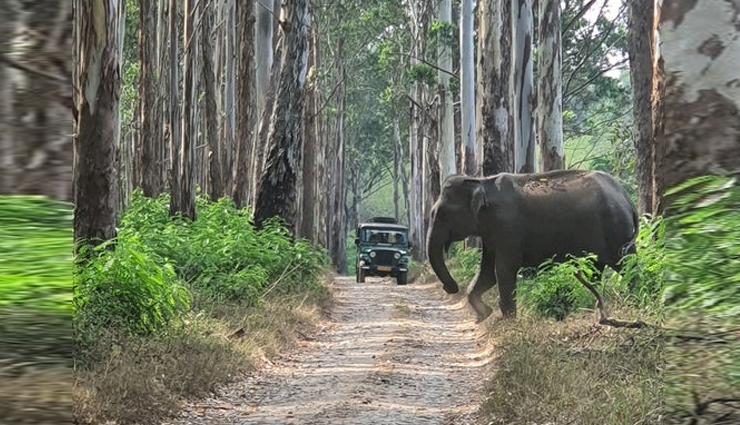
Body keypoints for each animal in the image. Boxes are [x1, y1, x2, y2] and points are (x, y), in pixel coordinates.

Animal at [427, 169, 642, 326]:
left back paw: (635, 300)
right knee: (596, 270)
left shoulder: (508, 228)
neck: (482, 181)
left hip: (617, 230)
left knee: (628, 266)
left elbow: (503, 270)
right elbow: (487, 272)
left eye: (442, 214)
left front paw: (507, 323)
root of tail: (626, 197)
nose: (450, 287)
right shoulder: (491, 235)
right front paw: (483, 316)